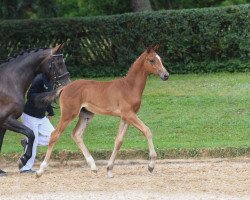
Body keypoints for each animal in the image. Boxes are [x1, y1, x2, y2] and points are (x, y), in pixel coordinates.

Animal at [36, 45, 169, 178]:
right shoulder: (129, 114)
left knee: (76, 134)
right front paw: (151, 165)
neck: (129, 87)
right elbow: (147, 131)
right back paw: (40, 171)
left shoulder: (125, 117)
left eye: (160, 59)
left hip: (86, 114)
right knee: (55, 135)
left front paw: (109, 169)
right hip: (69, 114)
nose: (166, 75)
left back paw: (93, 167)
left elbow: (118, 141)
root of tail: (64, 88)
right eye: (152, 60)